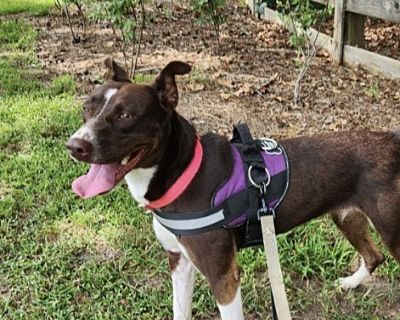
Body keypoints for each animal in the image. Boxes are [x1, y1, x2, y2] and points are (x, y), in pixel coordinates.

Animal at [67, 58, 400, 320]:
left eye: (125, 115)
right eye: (85, 108)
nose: (74, 146)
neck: (183, 173)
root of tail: (392, 141)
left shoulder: (223, 277)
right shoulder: (179, 261)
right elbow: (180, 311)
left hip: (391, 231)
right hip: (346, 216)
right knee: (374, 257)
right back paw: (351, 283)